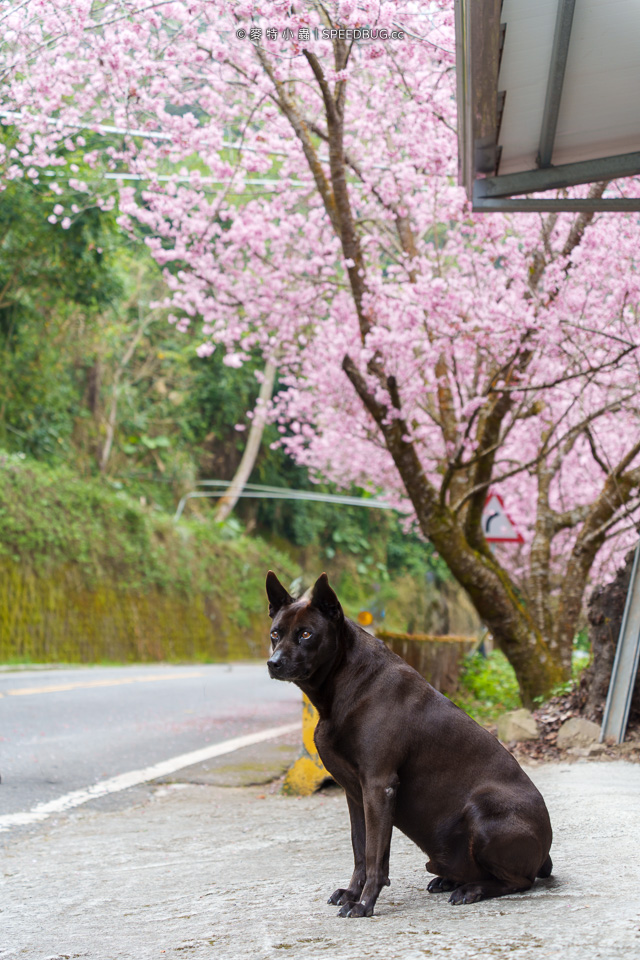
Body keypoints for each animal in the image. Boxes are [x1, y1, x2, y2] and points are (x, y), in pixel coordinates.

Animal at [268, 568, 552, 916]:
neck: (347, 681)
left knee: (520, 881)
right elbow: (361, 851)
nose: (273, 663)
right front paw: (352, 894)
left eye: (306, 634)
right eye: (275, 634)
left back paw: (472, 889)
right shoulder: (355, 793)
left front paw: (364, 903)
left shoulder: (379, 787)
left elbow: (375, 855)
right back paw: (448, 880)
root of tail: (546, 850)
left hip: (484, 811)